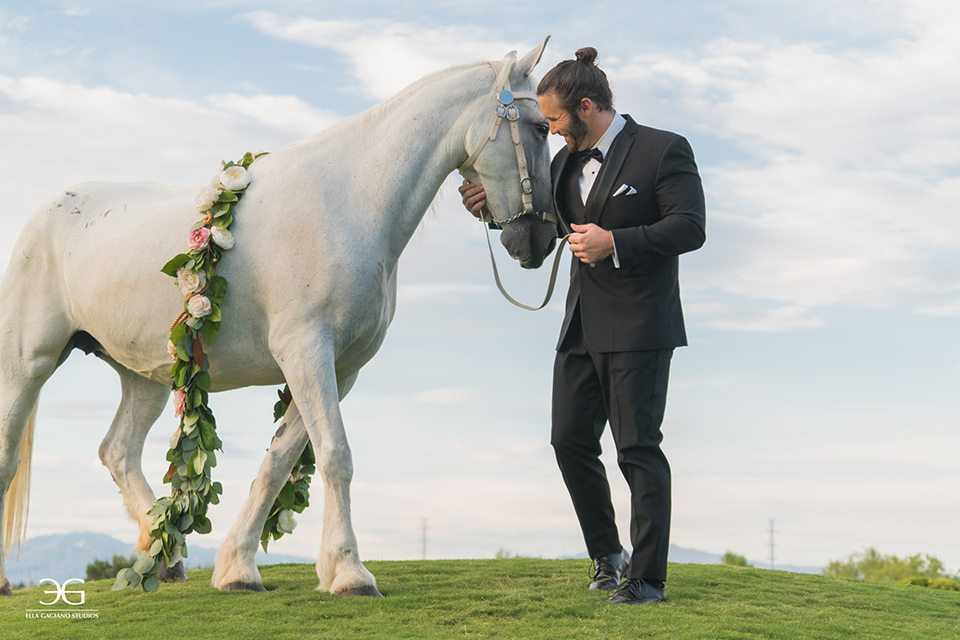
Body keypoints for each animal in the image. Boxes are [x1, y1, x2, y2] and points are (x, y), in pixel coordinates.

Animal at [0, 40, 556, 596]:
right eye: (540, 127)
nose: (539, 241)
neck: (351, 199)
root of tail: (42, 216)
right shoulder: (306, 350)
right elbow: (335, 454)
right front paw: (350, 571)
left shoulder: (339, 369)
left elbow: (279, 461)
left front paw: (239, 568)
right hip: (30, 365)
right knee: (10, 453)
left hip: (144, 378)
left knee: (117, 451)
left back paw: (164, 560)